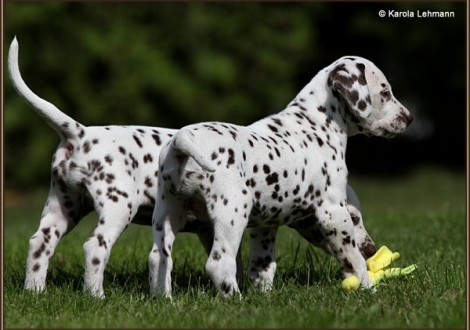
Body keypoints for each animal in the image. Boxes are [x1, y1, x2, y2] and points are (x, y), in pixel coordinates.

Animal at [151, 55, 412, 298]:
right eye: (385, 92)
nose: (409, 118)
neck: (316, 123)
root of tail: (181, 141)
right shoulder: (334, 212)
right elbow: (354, 259)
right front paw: (368, 287)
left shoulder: (266, 226)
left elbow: (262, 268)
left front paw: (264, 296)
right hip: (232, 212)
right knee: (219, 264)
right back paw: (236, 300)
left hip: (168, 213)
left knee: (158, 259)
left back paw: (164, 299)